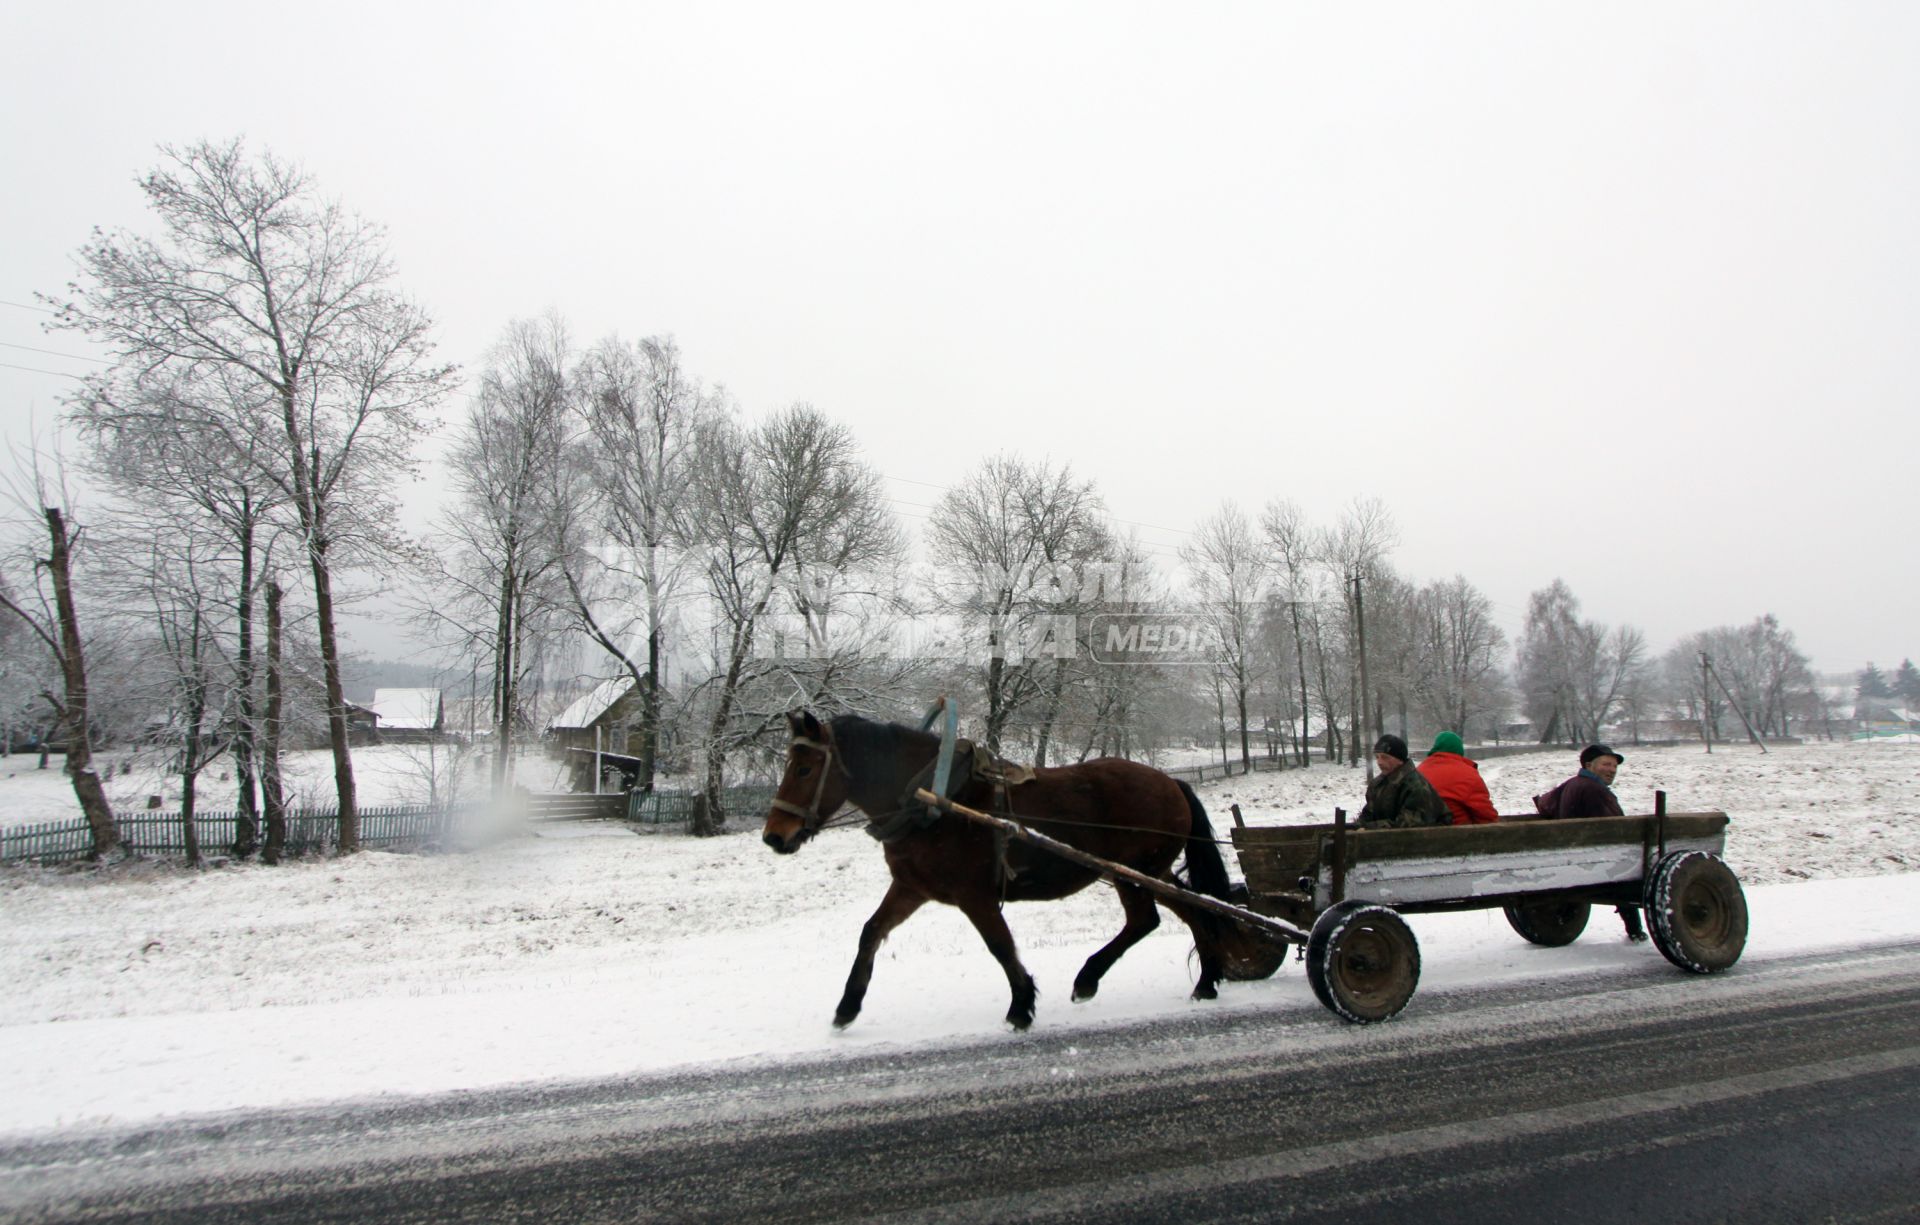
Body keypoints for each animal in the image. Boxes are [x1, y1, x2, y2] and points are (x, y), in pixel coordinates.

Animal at [752, 710, 1274, 1036]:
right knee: (1186, 912)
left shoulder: (974, 895)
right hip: (1151, 871)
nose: (775, 836)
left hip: (1136, 871)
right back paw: (1202, 982)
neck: (932, 798)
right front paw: (846, 1008)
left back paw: (1096, 979)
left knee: (1153, 918)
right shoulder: (912, 887)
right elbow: (870, 933)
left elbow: (1000, 946)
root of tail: (1169, 781)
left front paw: (1021, 1006)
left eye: (803, 768)